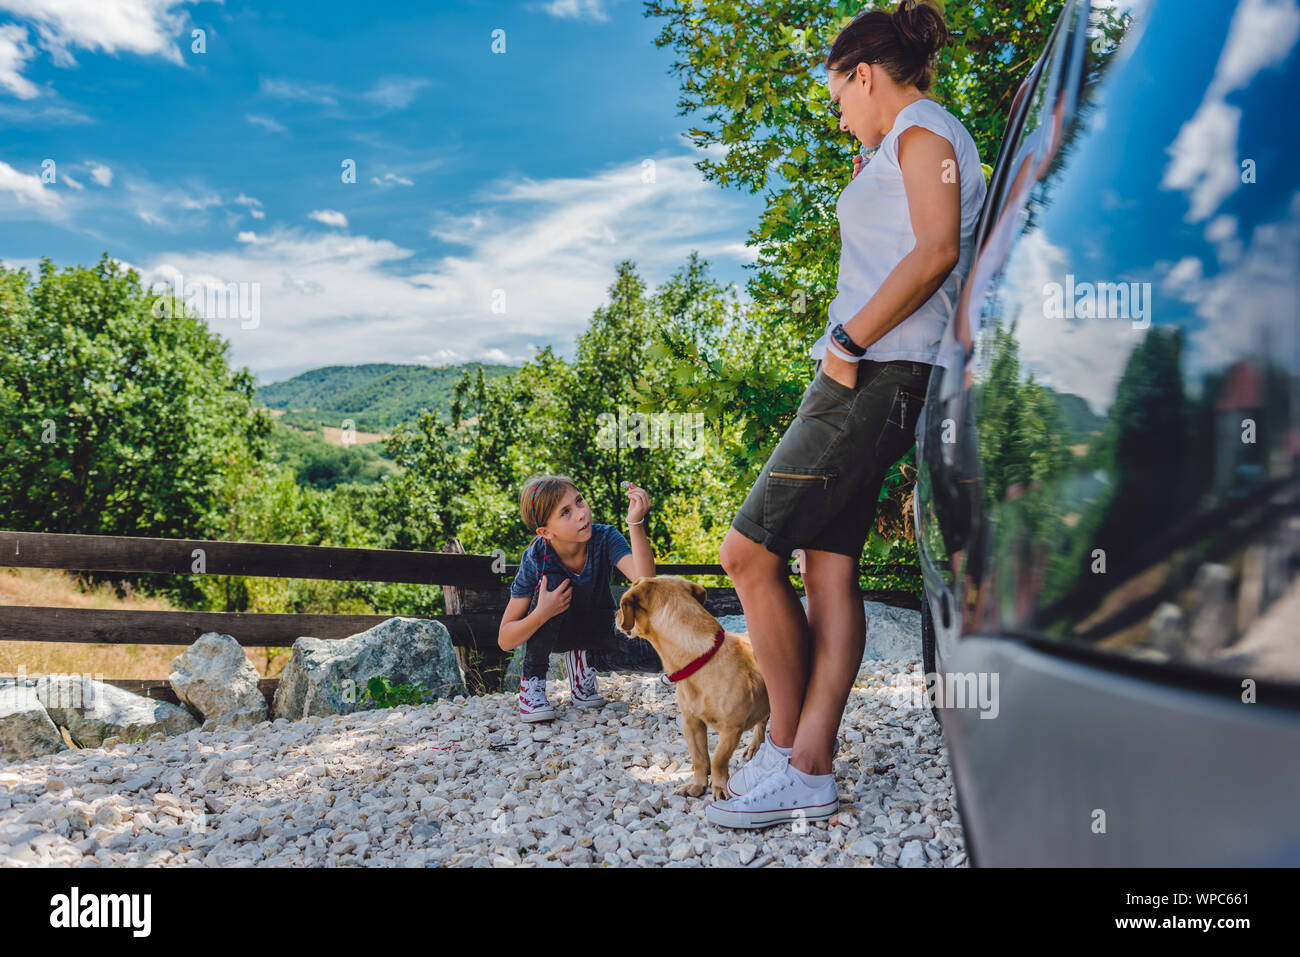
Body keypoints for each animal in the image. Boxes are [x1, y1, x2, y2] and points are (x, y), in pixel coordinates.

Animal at [613, 574, 764, 800]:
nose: (615, 614)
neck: (701, 656)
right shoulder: (691, 723)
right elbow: (699, 759)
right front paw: (698, 785)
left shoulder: (731, 729)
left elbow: (718, 760)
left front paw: (719, 787)